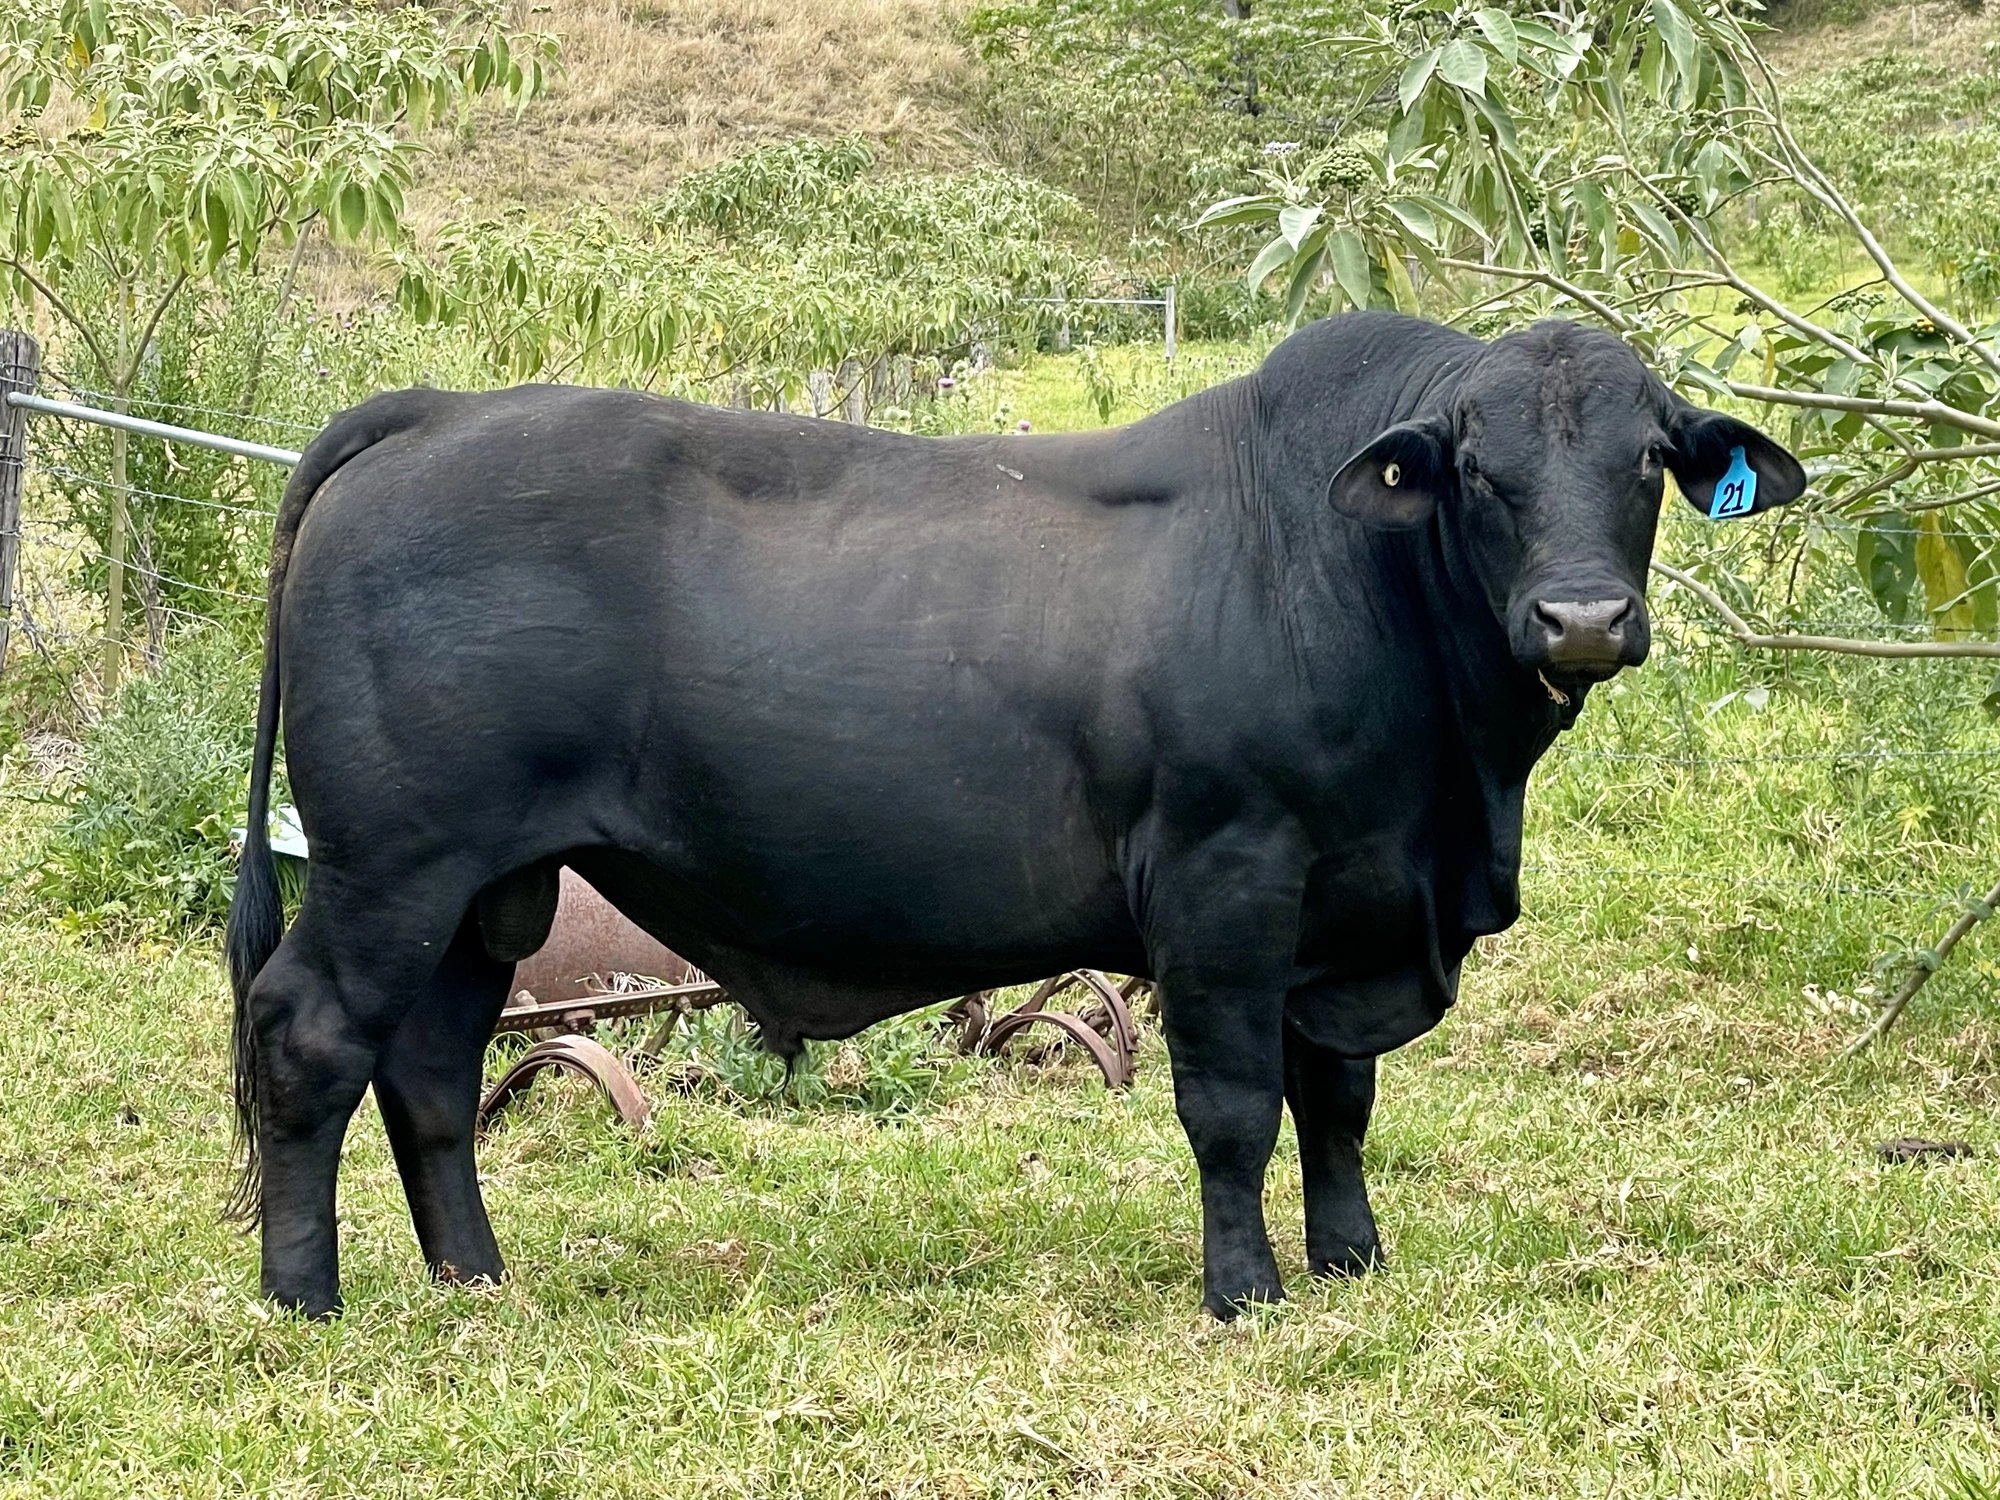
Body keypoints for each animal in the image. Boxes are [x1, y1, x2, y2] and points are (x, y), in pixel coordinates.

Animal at [225, 311, 1805, 1319]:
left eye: (1647, 460)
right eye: (1481, 470)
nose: (1582, 619)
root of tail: (438, 411)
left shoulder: (1343, 901)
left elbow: (1338, 1098)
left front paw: (1351, 1259)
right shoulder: (1229, 883)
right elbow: (1234, 1104)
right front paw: (1246, 1292)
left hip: (488, 891)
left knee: (432, 1067)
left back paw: (475, 1279)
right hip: (390, 868)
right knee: (311, 1037)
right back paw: (305, 1300)